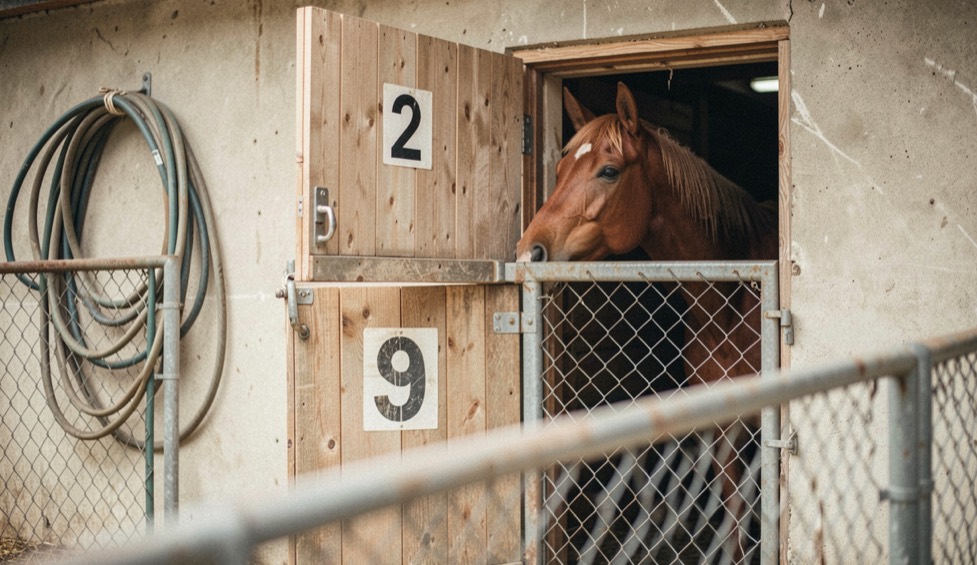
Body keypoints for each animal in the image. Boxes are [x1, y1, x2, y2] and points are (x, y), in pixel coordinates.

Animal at [515, 82, 777, 562]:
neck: (730, 301)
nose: (529, 251)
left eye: (609, 171)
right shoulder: (722, 424)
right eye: (559, 168)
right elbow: (732, 517)